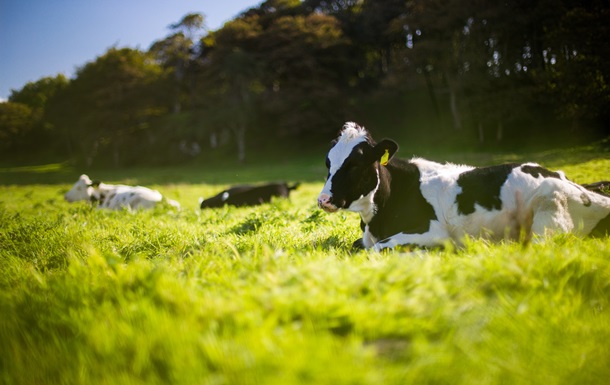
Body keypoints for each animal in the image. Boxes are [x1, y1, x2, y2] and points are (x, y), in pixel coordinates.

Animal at [316, 121, 608, 250]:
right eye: (328, 162)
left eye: (356, 164)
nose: (323, 200)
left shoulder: (431, 231)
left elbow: (378, 248)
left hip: (548, 214)